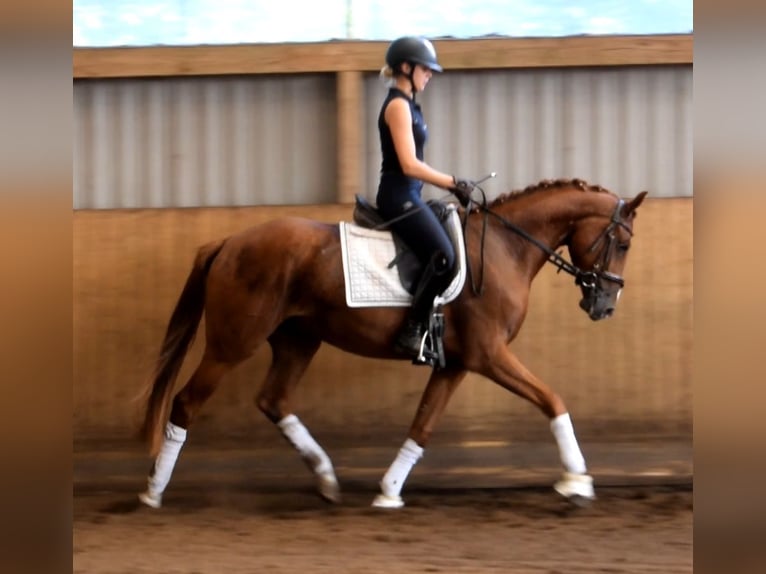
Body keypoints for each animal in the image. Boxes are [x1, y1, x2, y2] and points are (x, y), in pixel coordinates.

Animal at [136, 178, 648, 510]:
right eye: (622, 243)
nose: (605, 305)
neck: (505, 248)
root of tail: (227, 242)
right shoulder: (489, 356)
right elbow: (552, 400)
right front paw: (576, 481)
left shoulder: (456, 363)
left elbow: (422, 425)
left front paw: (388, 491)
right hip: (233, 343)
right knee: (186, 402)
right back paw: (154, 490)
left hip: (299, 339)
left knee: (273, 399)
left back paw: (326, 477)